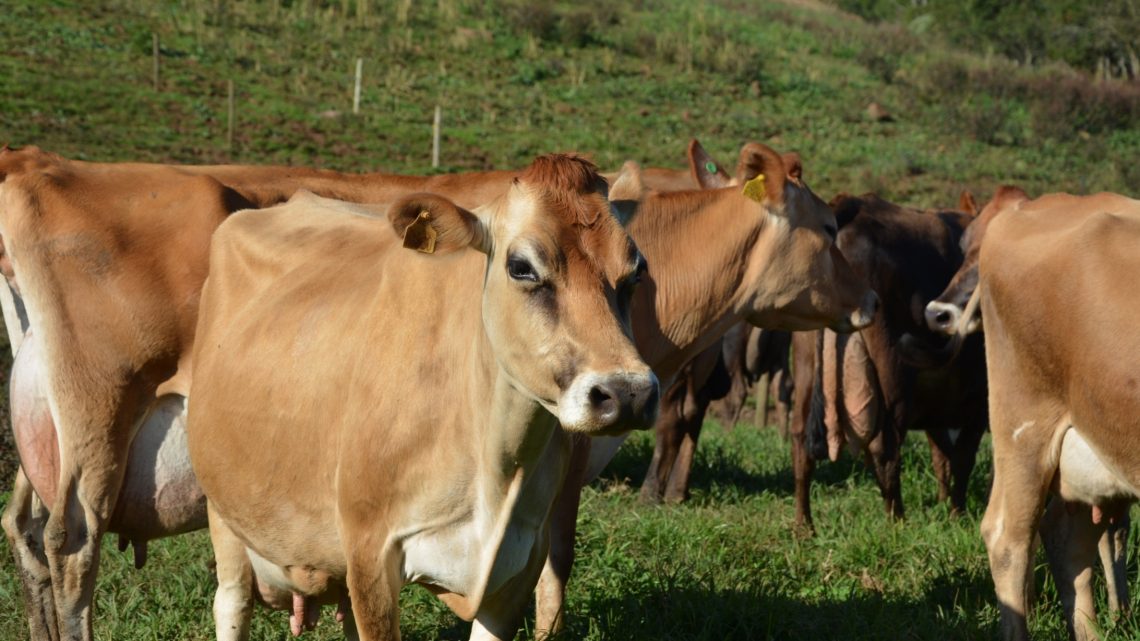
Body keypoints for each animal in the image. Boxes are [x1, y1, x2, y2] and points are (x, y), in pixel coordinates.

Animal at [186, 156, 661, 638]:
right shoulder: (370, 554)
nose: (627, 393)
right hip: (224, 512)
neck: (494, 470)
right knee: (232, 603)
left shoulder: (521, 563)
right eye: (521, 267)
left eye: (637, 271)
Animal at [788, 193, 994, 529]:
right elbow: (962, 458)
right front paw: (957, 513)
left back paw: (804, 526)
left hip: (807, 370)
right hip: (893, 378)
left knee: (800, 442)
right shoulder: (978, 401)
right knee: (884, 447)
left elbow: (943, 457)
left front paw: (944, 505)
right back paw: (897, 520)